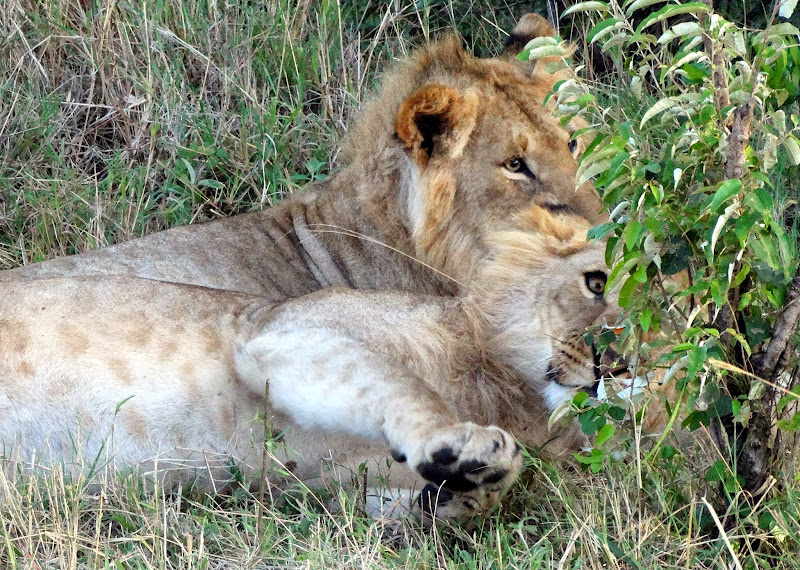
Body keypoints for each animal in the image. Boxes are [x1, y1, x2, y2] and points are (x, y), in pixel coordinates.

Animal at [0, 206, 620, 516]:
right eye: (596, 281)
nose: (613, 363)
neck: (510, 393)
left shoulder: (333, 492)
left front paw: (464, 487)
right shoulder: (282, 335)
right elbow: (403, 386)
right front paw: (463, 446)